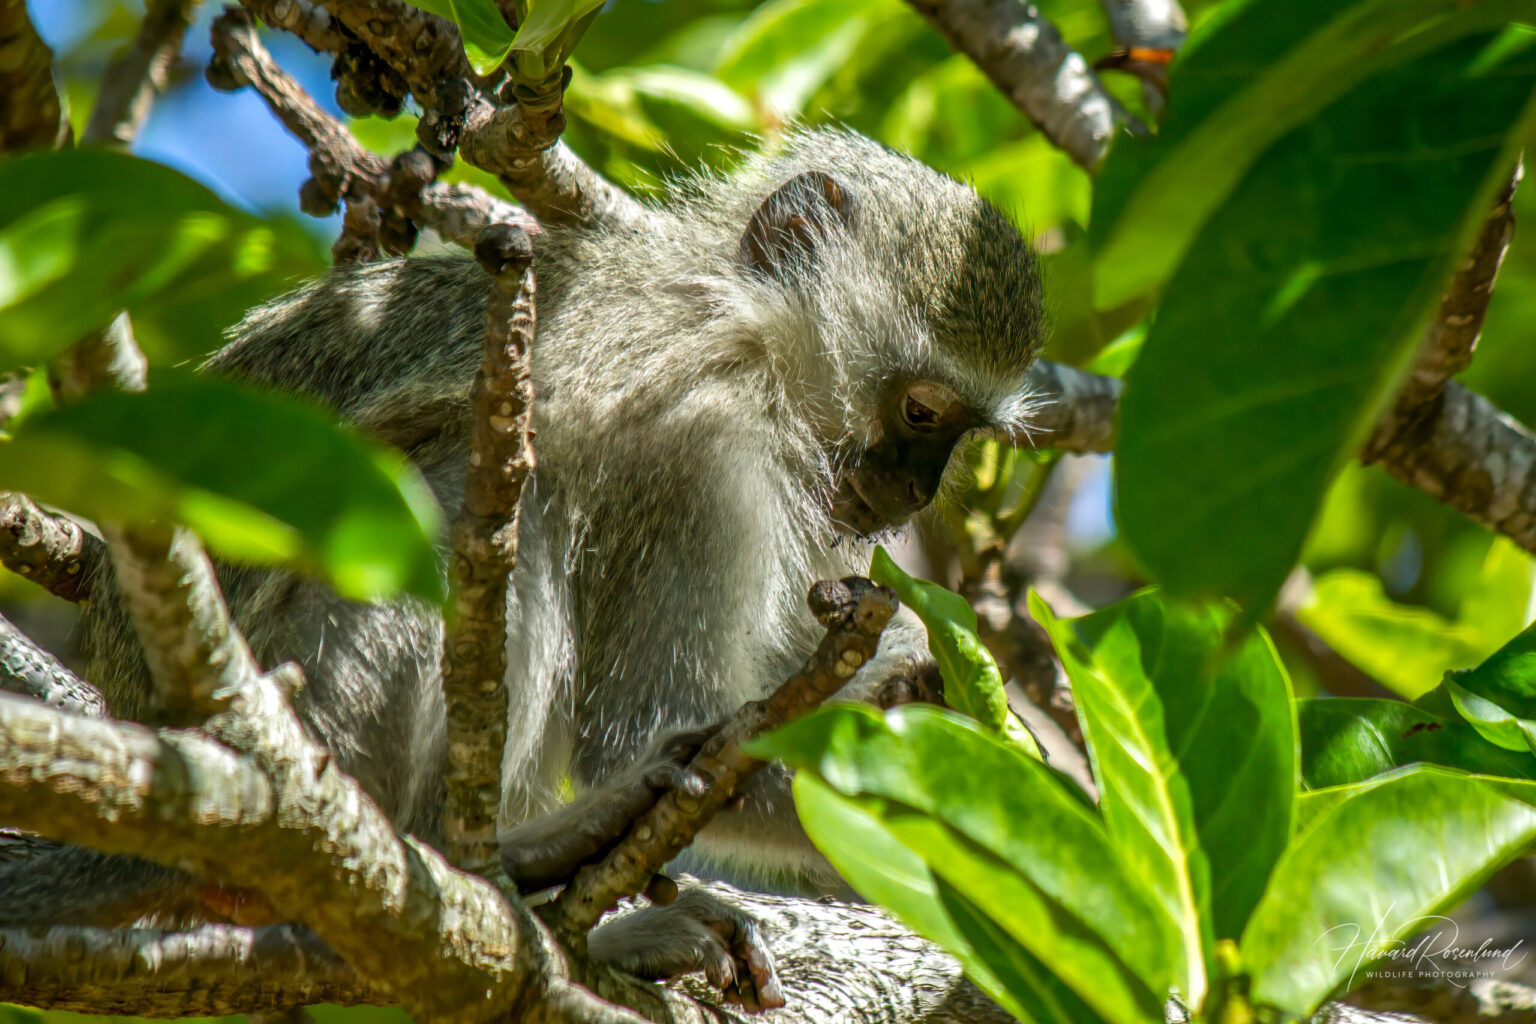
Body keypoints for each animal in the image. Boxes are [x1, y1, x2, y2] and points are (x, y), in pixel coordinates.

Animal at [2, 127, 1044, 1003]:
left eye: (958, 434)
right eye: (921, 411)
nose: (913, 490)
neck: (740, 323)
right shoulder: (701, 442)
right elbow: (649, 724)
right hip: (328, 693)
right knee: (495, 506)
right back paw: (511, 856)